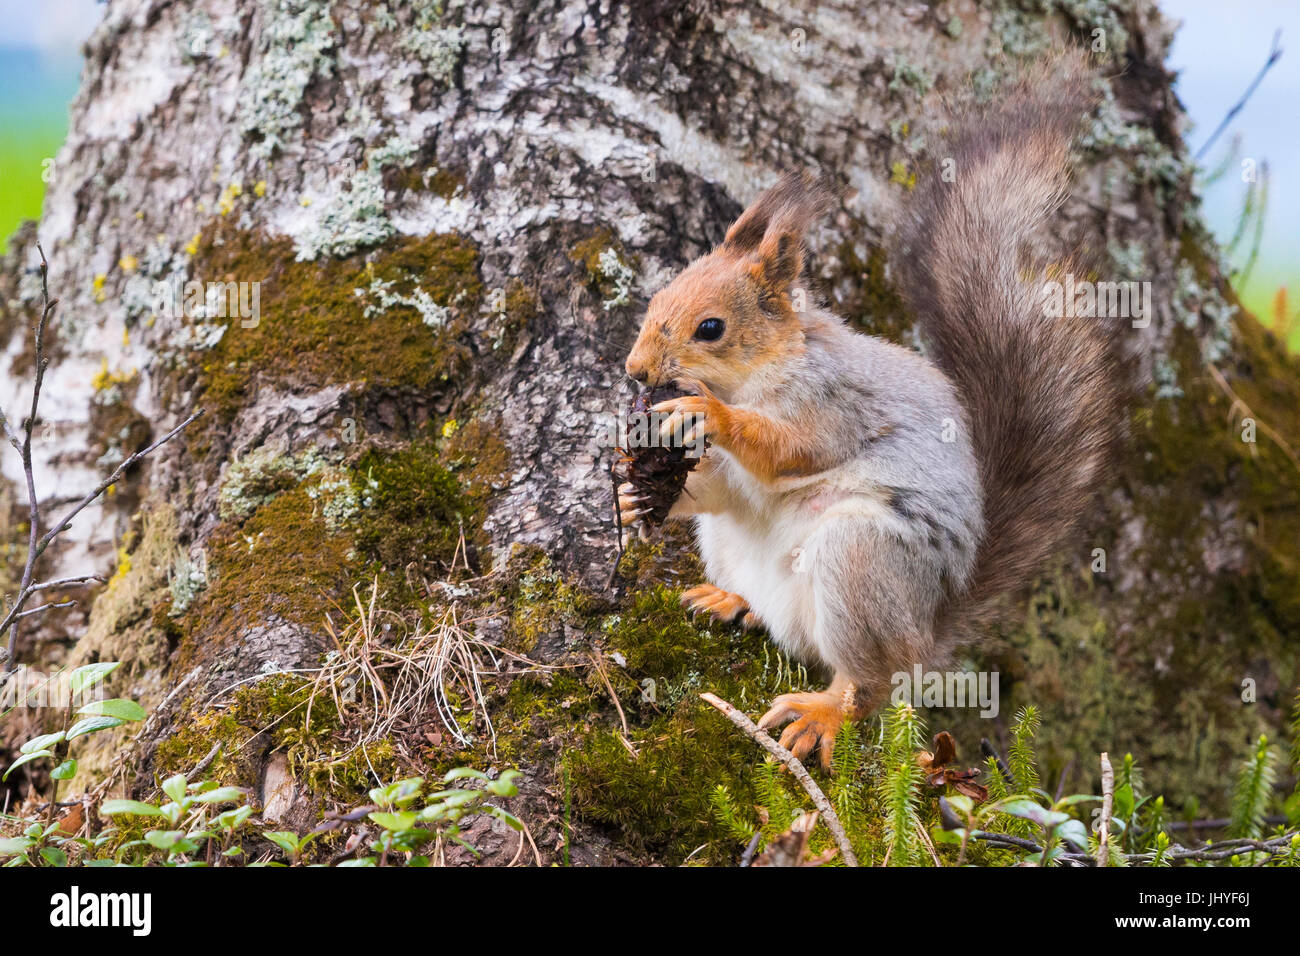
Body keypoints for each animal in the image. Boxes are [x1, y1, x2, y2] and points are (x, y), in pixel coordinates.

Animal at [618, 53, 1121, 769]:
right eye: (659, 296)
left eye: (710, 328)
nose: (635, 372)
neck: (757, 374)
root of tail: (926, 633)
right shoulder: (732, 482)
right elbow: (720, 490)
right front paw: (637, 497)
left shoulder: (832, 402)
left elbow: (793, 448)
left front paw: (709, 416)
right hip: (738, 551)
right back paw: (730, 600)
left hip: (860, 562)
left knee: (872, 684)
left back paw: (822, 714)